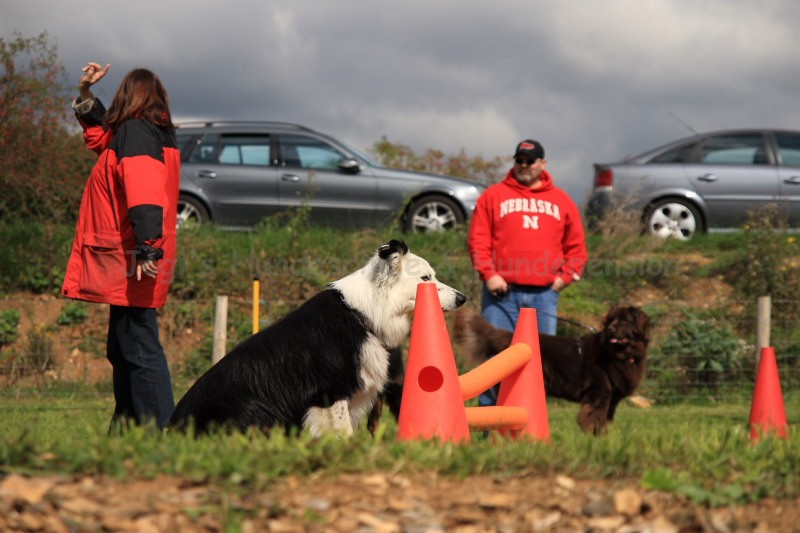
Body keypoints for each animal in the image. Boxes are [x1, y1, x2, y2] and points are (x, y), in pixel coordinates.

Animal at [450, 306, 648, 434]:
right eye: (611, 321)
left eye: (624, 321)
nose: (611, 329)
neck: (615, 353)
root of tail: (508, 337)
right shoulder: (599, 392)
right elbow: (594, 416)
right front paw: (591, 435)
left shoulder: (613, 399)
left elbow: (606, 419)